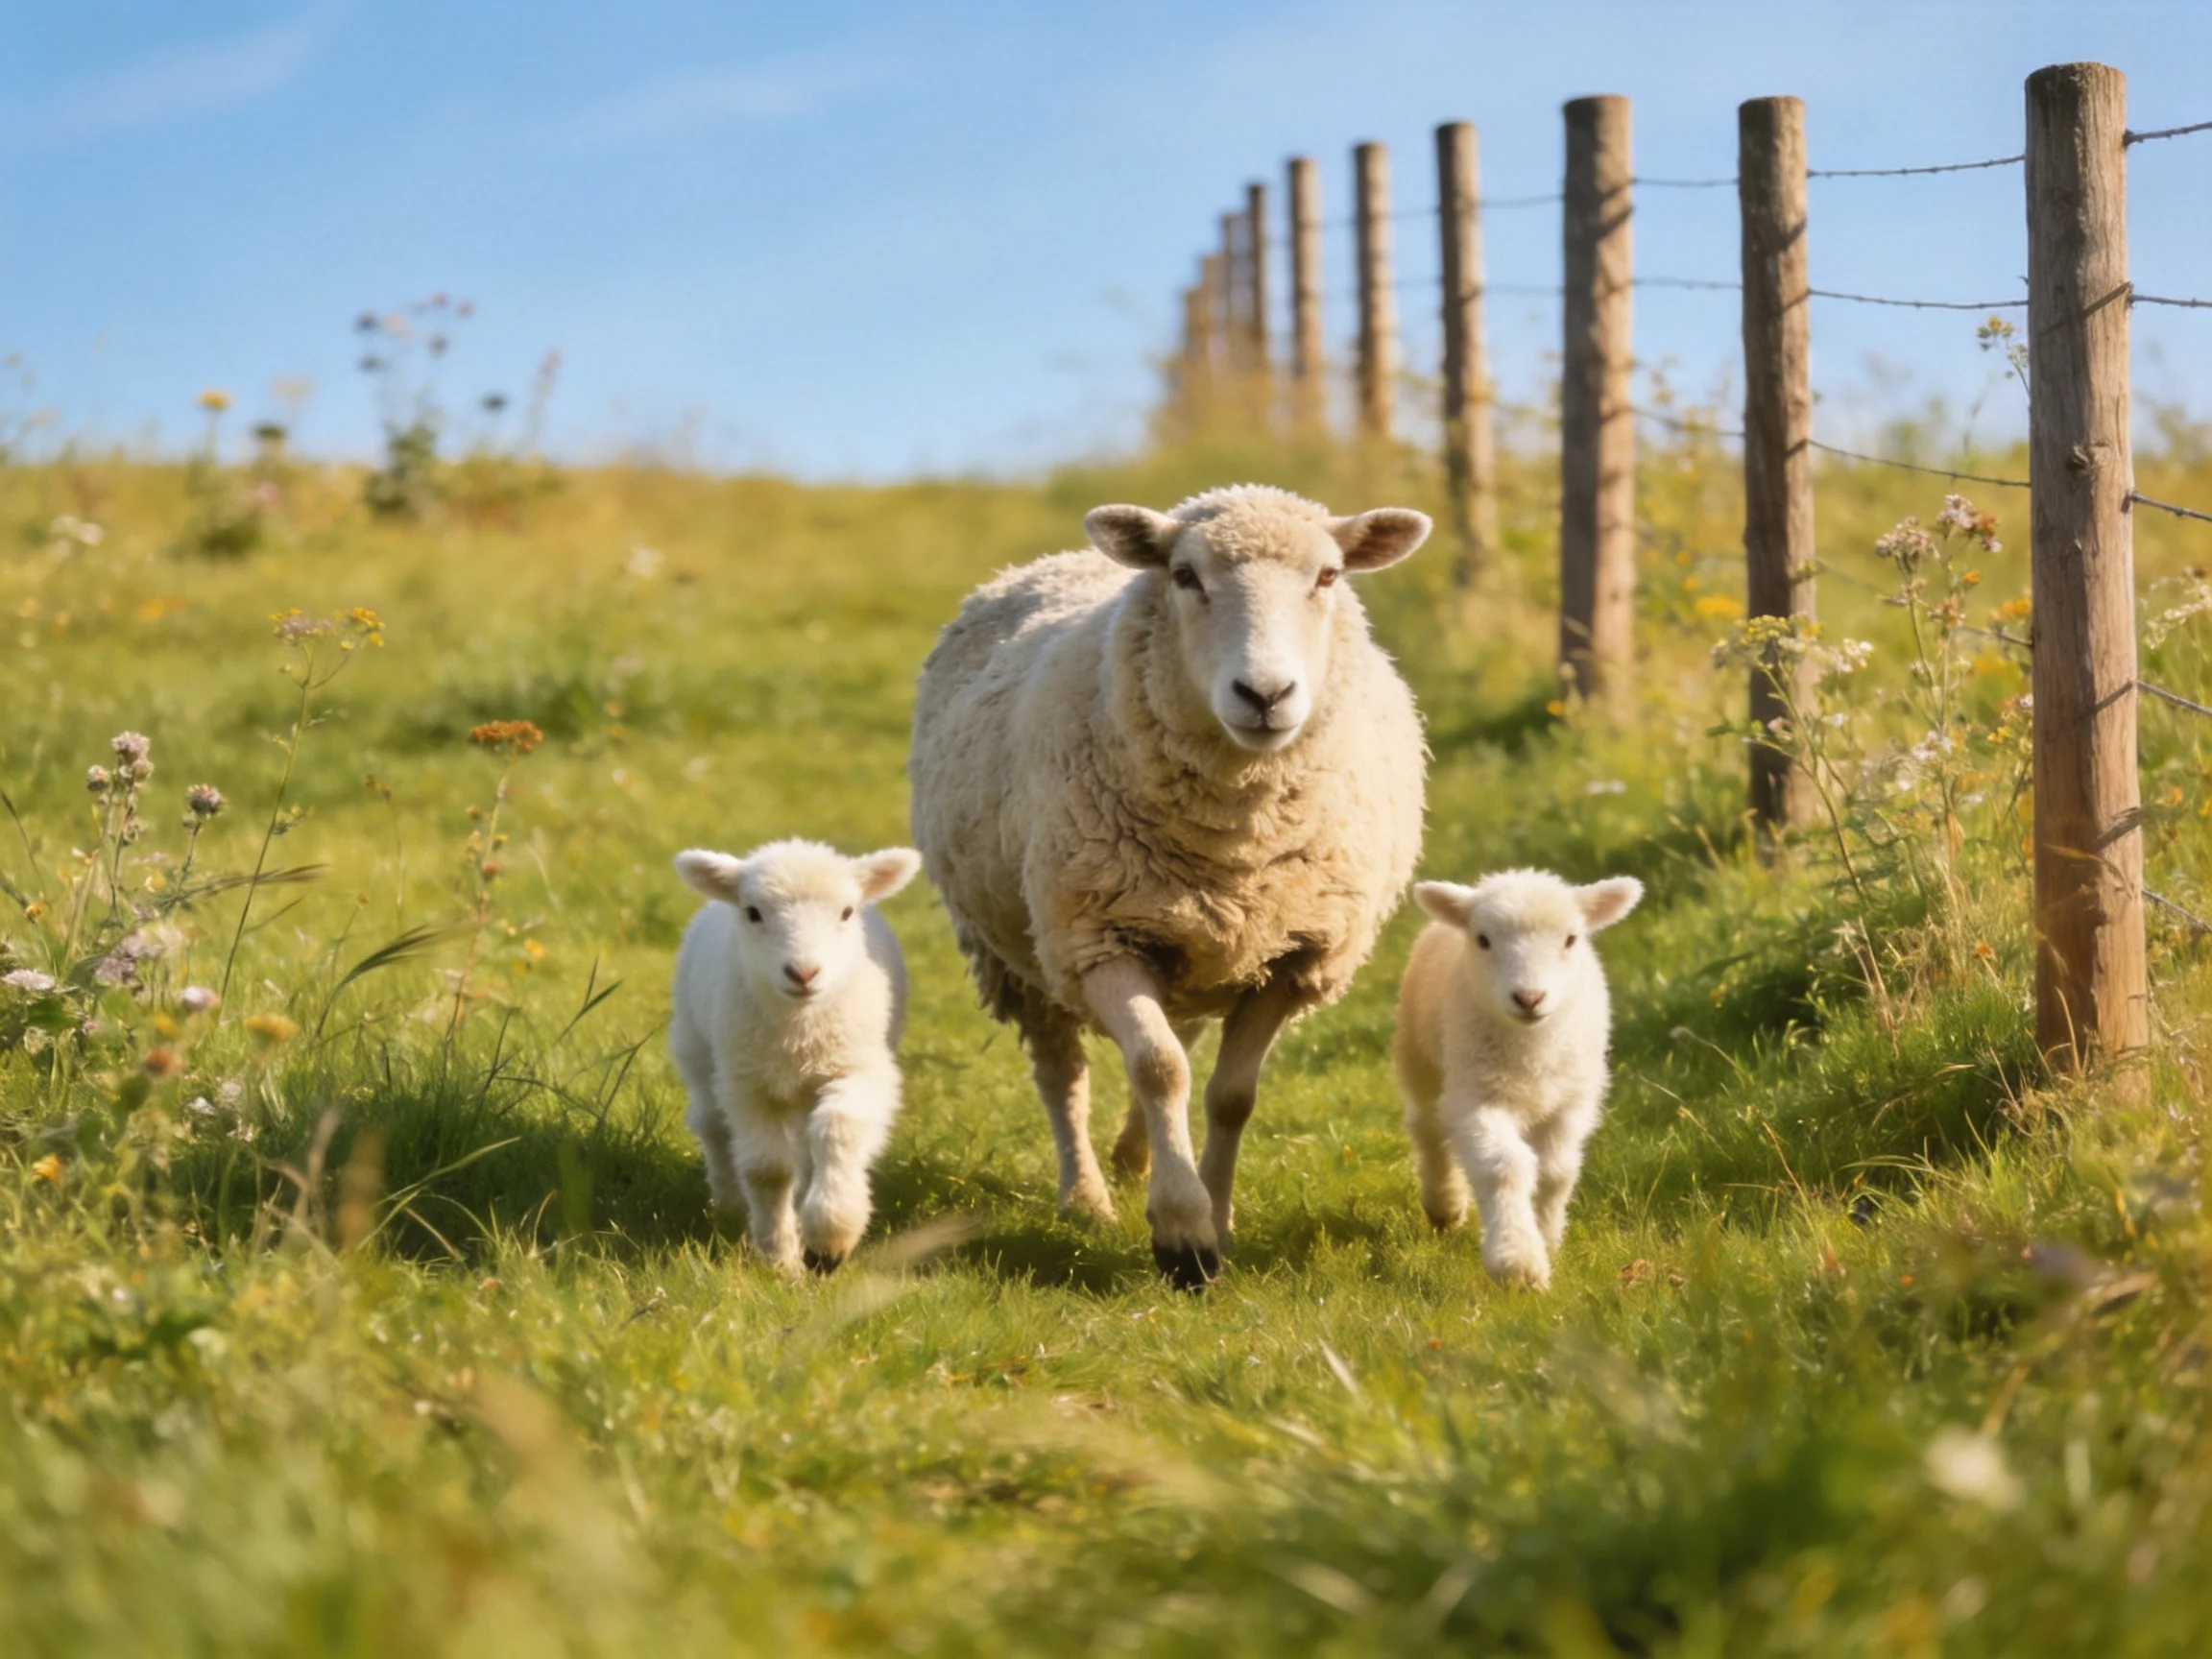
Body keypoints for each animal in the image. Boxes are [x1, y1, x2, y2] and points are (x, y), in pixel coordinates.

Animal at [668, 838, 922, 1274]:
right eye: (753, 912)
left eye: (847, 912)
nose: (803, 973)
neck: (800, 1034)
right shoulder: (749, 1084)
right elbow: (768, 1170)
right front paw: (780, 1259)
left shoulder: (859, 1068)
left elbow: (839, 1129)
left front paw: (830, 1237)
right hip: (698, 1047)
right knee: (711, 1123)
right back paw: (727, 1203)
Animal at [909, 484, 1431, 1287]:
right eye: (1186, 576)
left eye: (1329, 576)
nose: (1265, 693)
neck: (1236, 835)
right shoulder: (1100, 939)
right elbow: (1159, 1070)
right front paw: (1183, 1235)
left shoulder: (1294, 958)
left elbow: (1230, 1095)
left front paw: (1217, 1216)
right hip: (1018, 949)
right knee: (1064, 1073)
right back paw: (1087, 1196)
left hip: (1192, 943)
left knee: (1178, 1033)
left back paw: (1135, 1157)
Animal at [1393, 868, 1643, 1288]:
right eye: (1483, 939)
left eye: (1571, 939)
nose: (1529, 998)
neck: (1530, 1053)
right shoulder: (1477, 1098)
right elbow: (1504, 1167)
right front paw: (1518, 1261)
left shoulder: (1571, 1101)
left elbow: (1556, 1172)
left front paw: (1546, 1235)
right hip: (1421, 1057)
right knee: (1428, 1129)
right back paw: (1445, 1204)